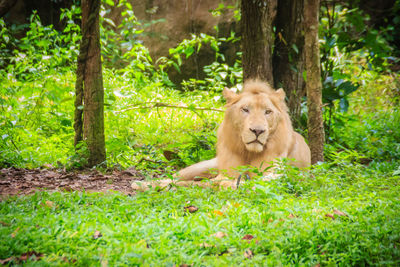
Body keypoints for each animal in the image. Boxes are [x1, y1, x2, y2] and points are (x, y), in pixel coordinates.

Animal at [133, 80, 310, 192]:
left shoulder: (274, 175)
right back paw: (142, 184)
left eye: (268, 112)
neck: (248, 153)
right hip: (204, 165)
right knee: (176, 177)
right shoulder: (225, 172)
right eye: (245, 109)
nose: (257, 131)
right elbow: (202, 183)